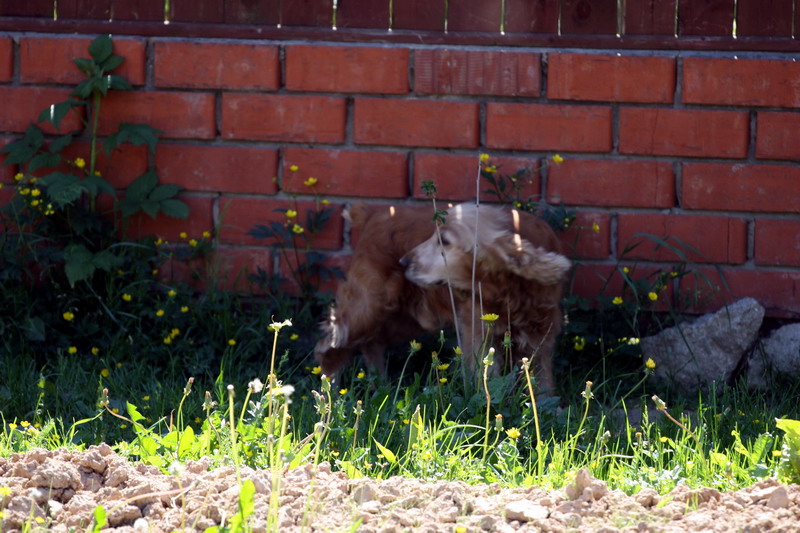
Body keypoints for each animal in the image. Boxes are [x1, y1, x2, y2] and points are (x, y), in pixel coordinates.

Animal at [312, 202, 568, 392]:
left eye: (444, 241)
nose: (404, 262)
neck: (510, 290)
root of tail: (373, 214)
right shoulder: (477, 332)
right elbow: (487, 375)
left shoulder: (542, 335)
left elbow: (543, 383)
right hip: (368, 305)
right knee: (329, 345)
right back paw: (329, 396)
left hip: (401, 319)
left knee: (371, 342)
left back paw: (380, 385)